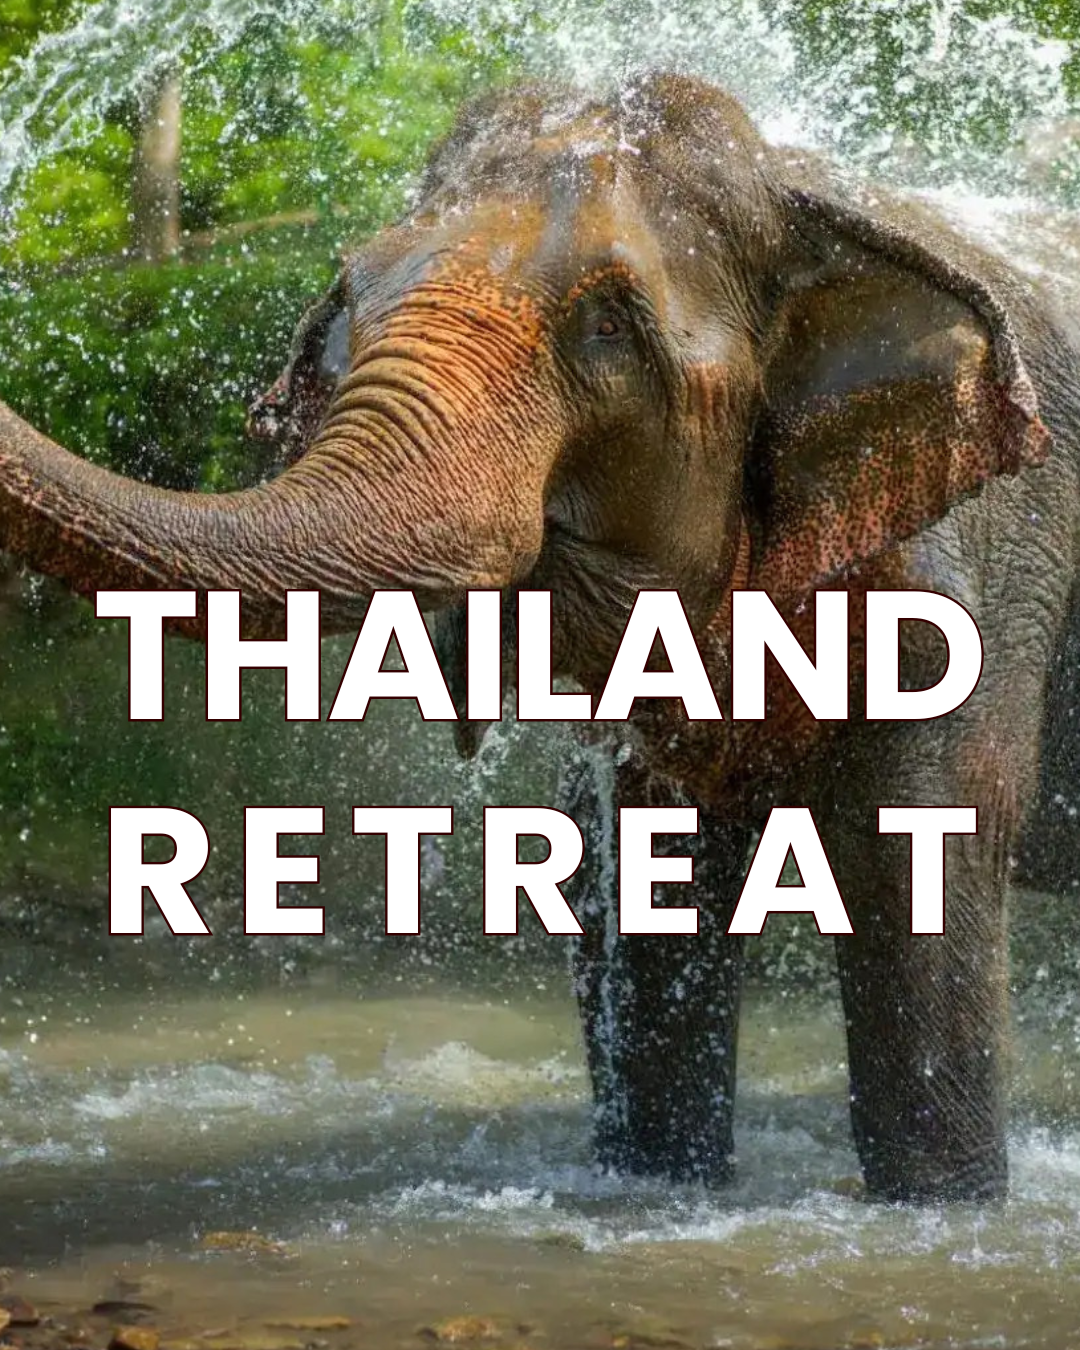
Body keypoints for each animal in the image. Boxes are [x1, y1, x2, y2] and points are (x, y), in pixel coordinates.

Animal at [1, 72, 1079, 1204]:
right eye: (352, 289)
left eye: (609, 326)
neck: (799, 191)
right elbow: (644, 864)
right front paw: (658, 1187)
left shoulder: (989, 558)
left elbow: (917, 849)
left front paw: (943, 1207)